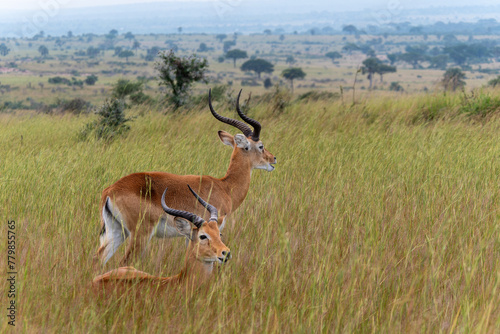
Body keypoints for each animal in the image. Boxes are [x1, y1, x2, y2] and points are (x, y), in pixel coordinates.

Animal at [94, 89, 278, 266]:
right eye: (260, 146)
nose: (273, 159)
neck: (224, 186)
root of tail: (110, 190)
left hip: (116, 231)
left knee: (99, 258)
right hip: (140, 234)